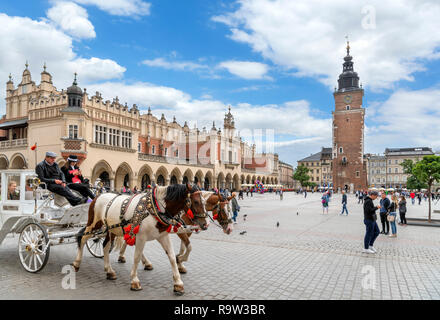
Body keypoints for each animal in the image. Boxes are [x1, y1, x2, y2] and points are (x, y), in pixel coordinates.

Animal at [72, 182, 208, 296]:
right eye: (196, 202)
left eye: (204, 202)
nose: (205, 224)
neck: (155, 209)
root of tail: (98, 195)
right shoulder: (140, 236)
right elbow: (136, 257)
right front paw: (134, 280)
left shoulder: (163, 236)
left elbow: (172, 257)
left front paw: (178, 283)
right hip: (93, 224)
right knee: (83, 238)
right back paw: (76, 264)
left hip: (111, 230)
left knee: (105, 246)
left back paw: (109, 271)